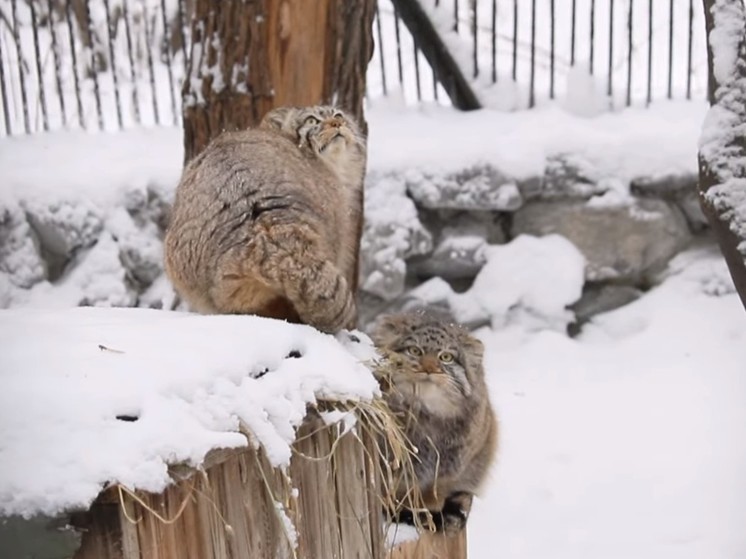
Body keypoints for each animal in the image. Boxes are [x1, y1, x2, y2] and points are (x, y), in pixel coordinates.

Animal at [370, 310, 496, 532]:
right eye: (415, 350)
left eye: (446, 357)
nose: (429, 369)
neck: (425, 413)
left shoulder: (451, 465)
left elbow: (434, 489)